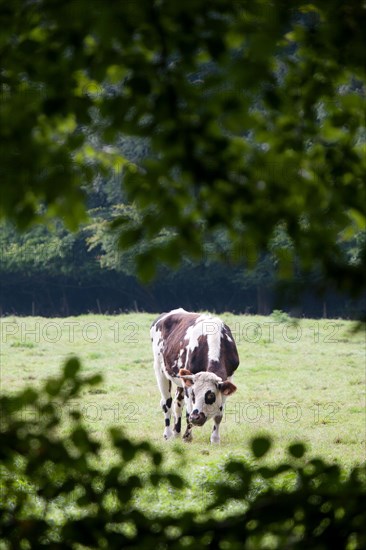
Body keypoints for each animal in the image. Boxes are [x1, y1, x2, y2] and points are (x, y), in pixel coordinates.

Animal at [150, 310, 239, 444]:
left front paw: (215, 439)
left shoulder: (228, 379)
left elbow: (219, 414)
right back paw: (168, 434)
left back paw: (176, 432)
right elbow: (188, 412)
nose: (195, 417)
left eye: (210, 395)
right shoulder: (189, 385)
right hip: (160, 369)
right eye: (193, 394)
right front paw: (187, 437)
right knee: (167, 403)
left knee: (177, 404)